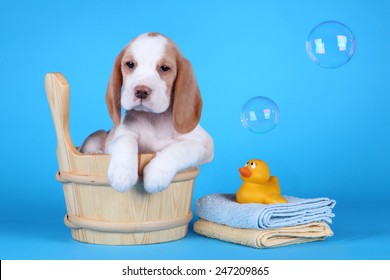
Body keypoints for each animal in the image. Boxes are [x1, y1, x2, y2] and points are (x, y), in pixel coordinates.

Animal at [79, 31, 213, 191]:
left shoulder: (205, 145)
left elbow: (179, 149)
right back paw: (95, 152)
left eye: (164, 68)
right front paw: (122, 173)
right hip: (96, 137)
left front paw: (157, 174)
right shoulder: (118, 137)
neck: (153, 119)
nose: (141, 91)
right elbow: (125, 140)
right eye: (130, 64)